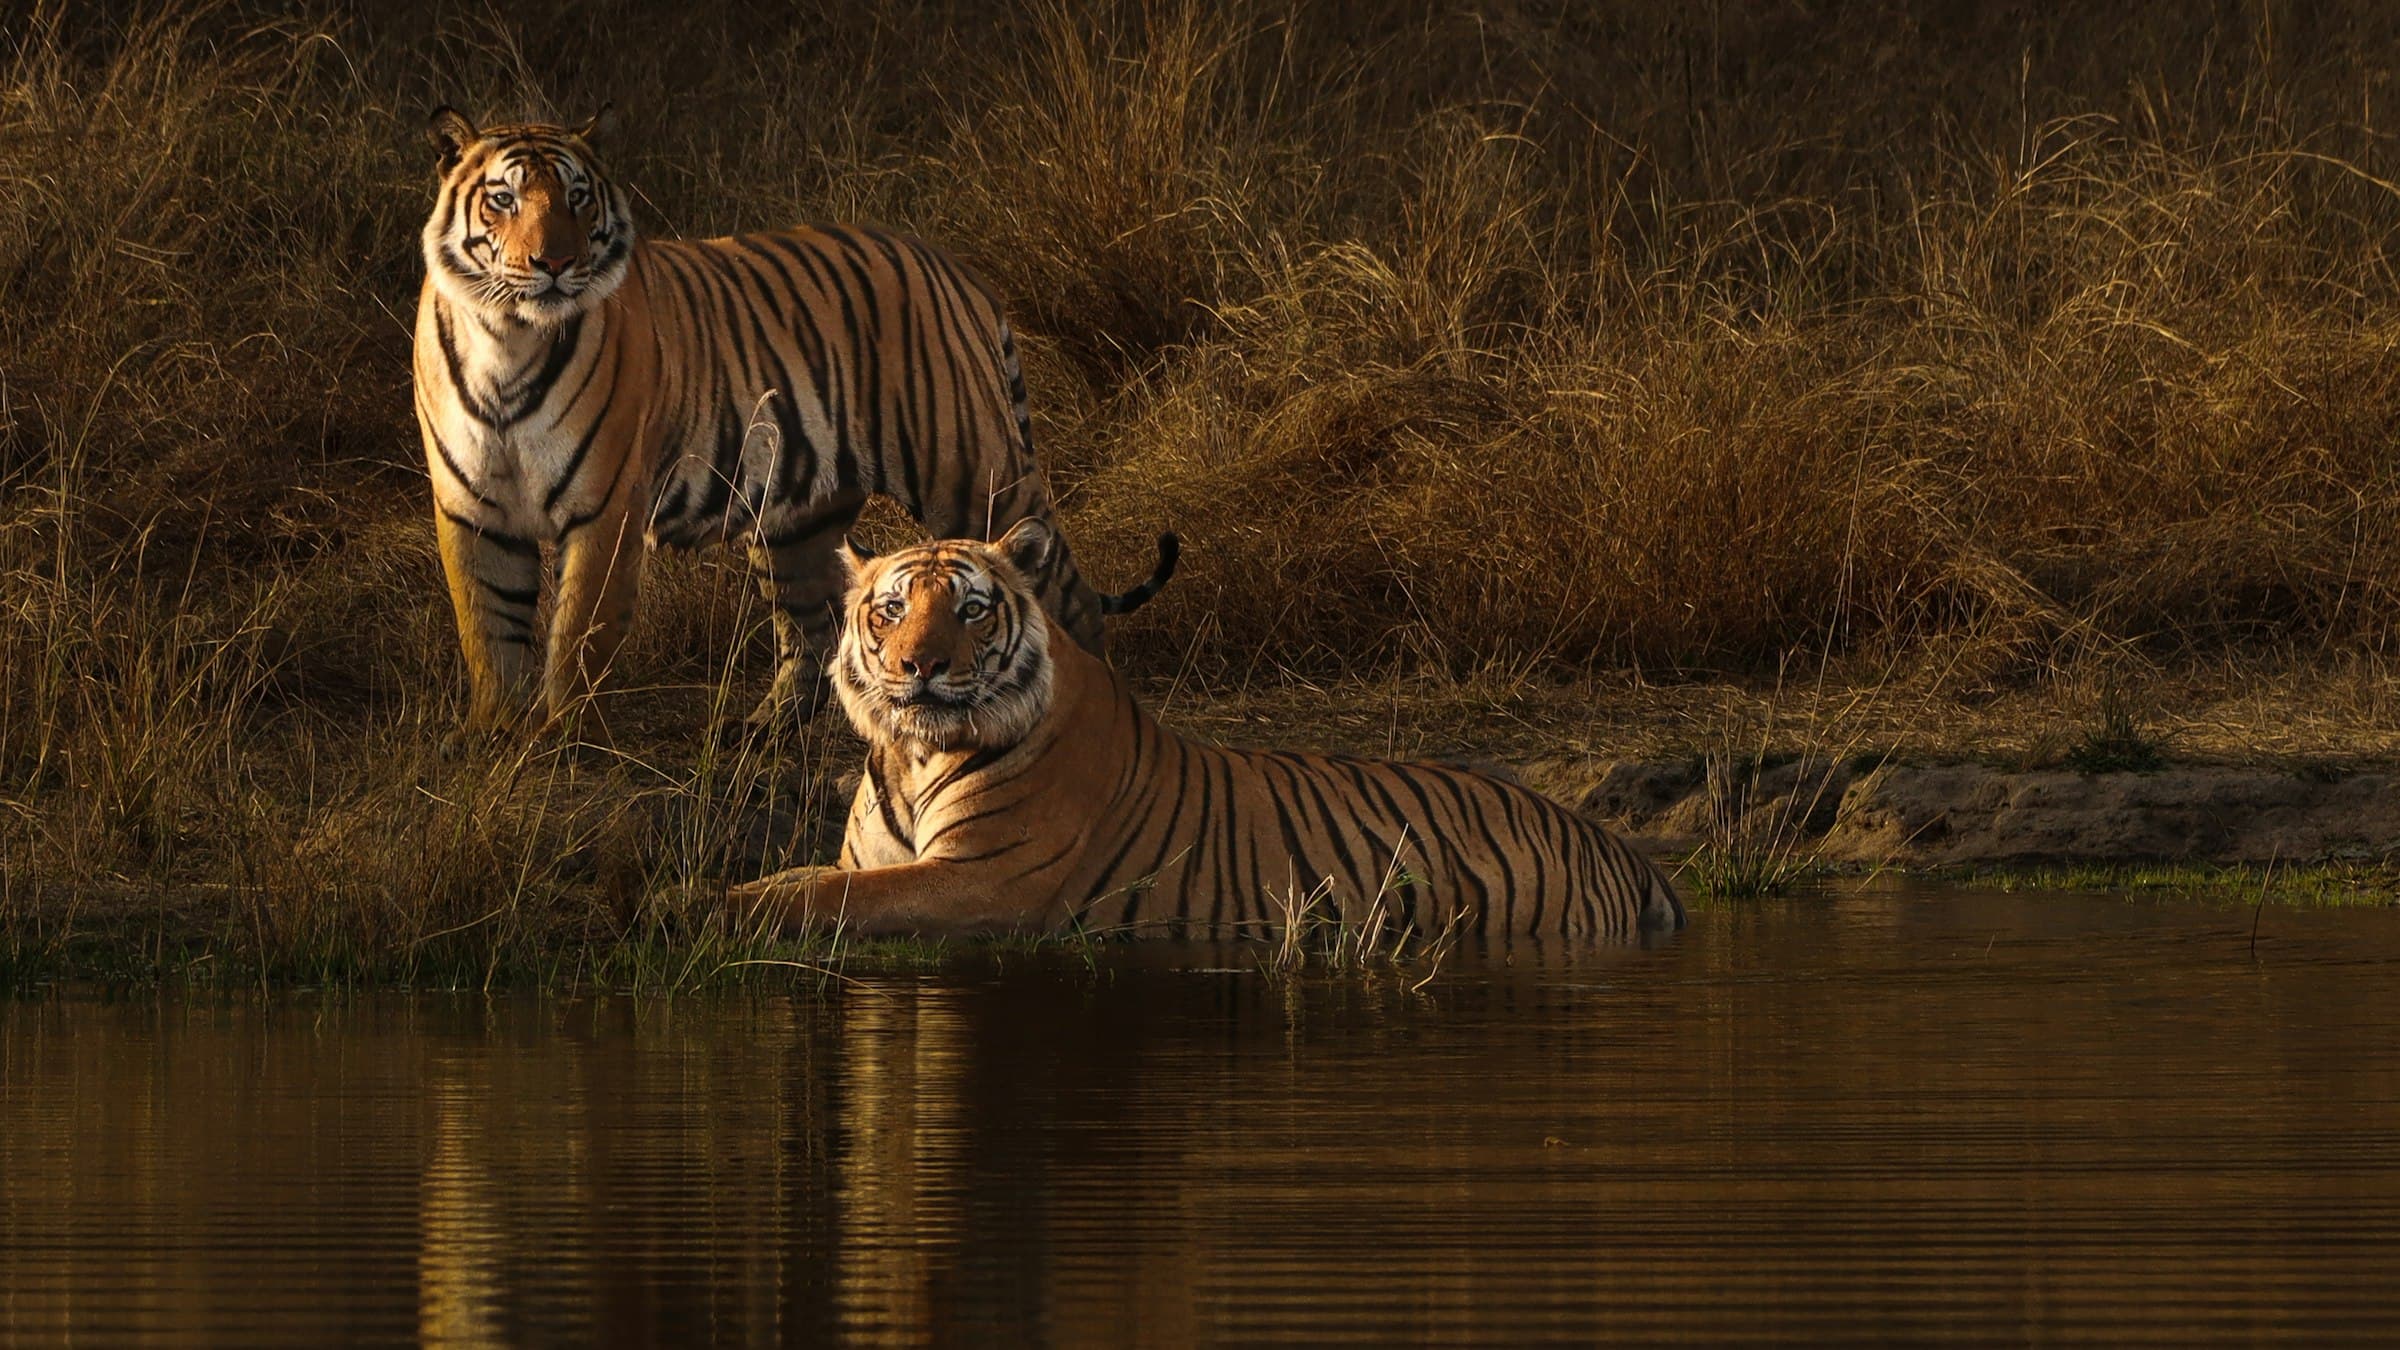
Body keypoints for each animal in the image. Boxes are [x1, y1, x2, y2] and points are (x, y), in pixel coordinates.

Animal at [413, 107, 1154, 744]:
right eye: (503, 199)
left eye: (578, 198)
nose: (554, 264)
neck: (508, 339)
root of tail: (953, 266)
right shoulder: (472, 508)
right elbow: (487, 625)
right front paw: (493, 734)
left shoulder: (605, 508)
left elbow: (578, 636)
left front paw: (560, 736)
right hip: (796, 518)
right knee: (816, 627)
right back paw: (762, 731)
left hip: (976, 475)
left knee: (1066, 599)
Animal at [725, 523, 1688, 941]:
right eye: (890, 610)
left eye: (969, 609)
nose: (918, 666)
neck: (913, 752)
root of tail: (1617, 845)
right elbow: (809, 879)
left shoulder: (982, 882)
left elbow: (823, 898)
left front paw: (701, 906)